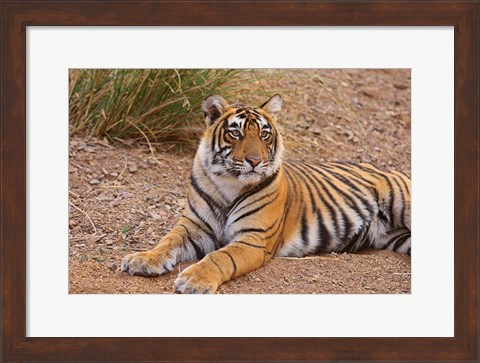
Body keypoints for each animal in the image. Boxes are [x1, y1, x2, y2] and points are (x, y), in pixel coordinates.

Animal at [121, 93, 412, 292]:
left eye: (264, 134)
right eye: (236, 133)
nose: (254, 161)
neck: (229, 183)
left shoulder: (254, 239)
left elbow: (220, 257)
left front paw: (194, 279)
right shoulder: (193, 226)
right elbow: (166, 241)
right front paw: (142, 259)